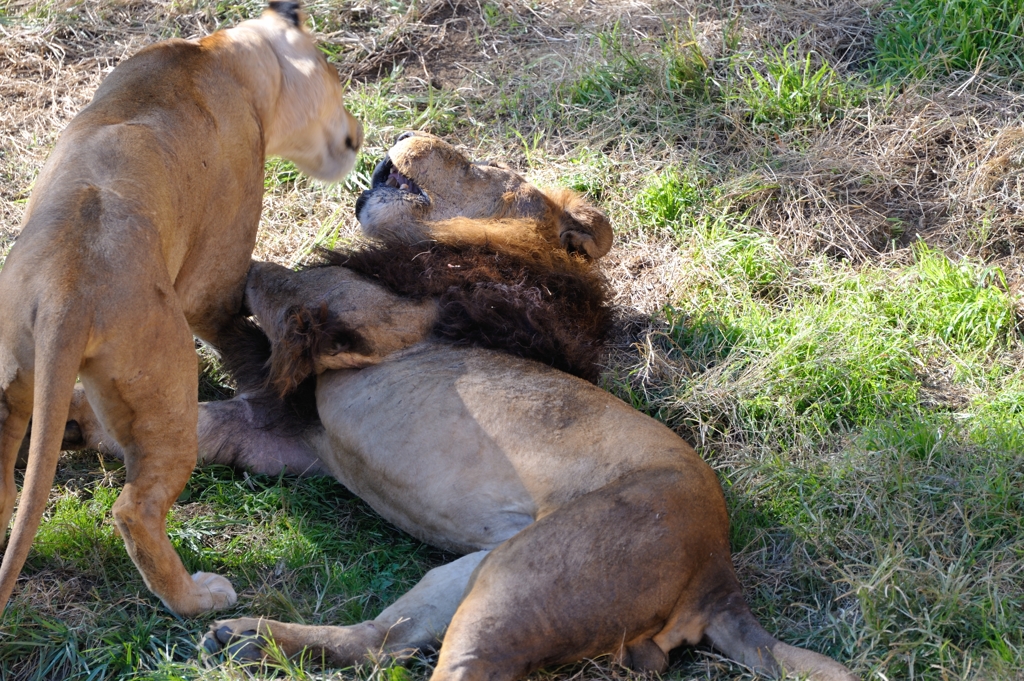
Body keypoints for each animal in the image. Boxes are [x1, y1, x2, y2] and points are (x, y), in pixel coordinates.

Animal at [66, 131, 856, 675]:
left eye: (486, 169)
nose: (407, 133)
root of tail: (720, 576)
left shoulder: (366, 312)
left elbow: (259, 271)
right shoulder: (288, 435)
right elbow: (183, 419)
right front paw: (71, 422)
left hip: (526, 582)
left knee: (454, 662)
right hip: (466, 573)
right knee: (379, 641)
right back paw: (251, 638)